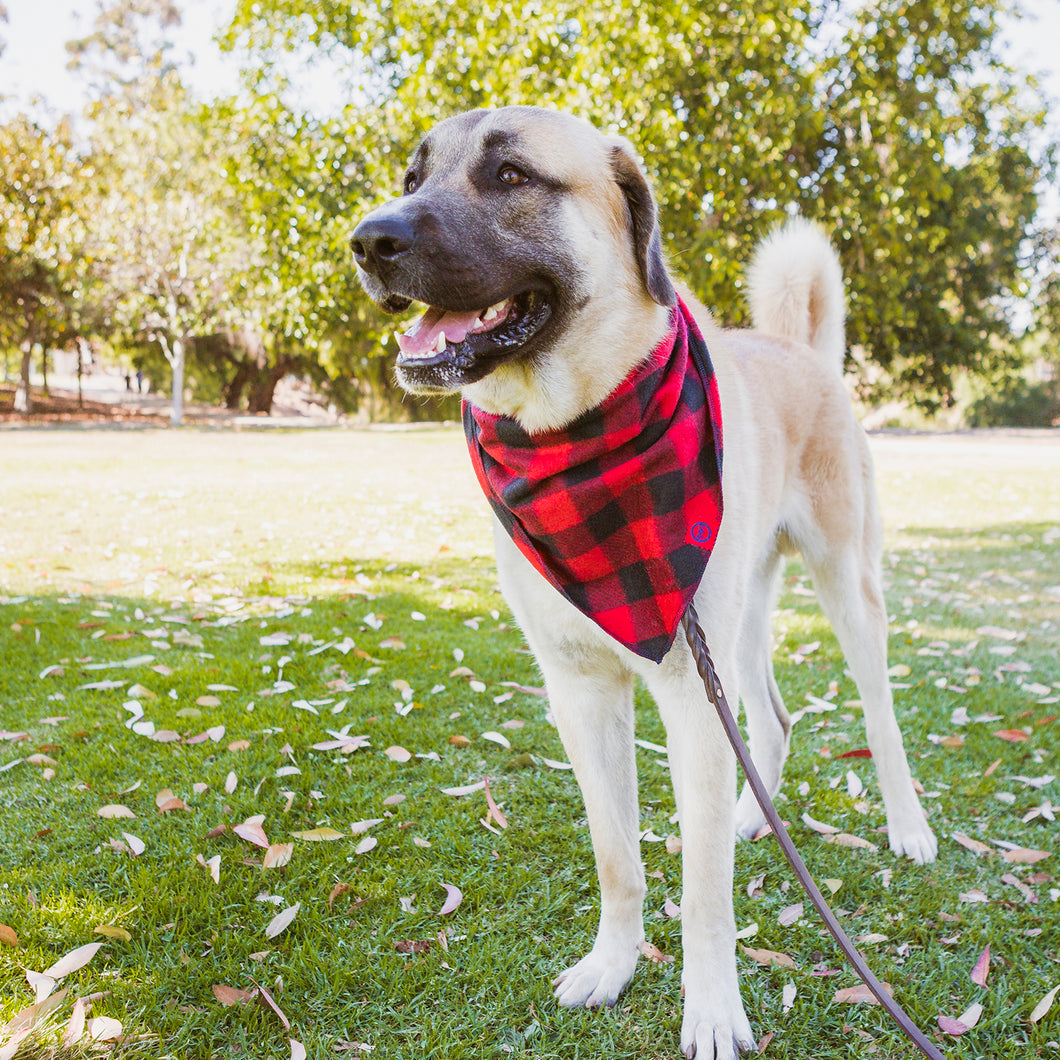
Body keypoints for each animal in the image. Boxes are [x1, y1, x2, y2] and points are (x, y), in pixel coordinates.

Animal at [349, 107, 937, 1060]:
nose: (369, 240)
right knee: (770, 717)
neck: (574, 429)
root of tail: (796, 349)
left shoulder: (688, 693)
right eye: (412, 175)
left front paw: (713, 1010)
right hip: (736, 623)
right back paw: (750, 814)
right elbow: (617, 856)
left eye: (510, 175)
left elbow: (704, 890)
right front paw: (614, 964)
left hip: (844, 590)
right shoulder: (583, 692)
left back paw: (906, 825)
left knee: (880, 718)